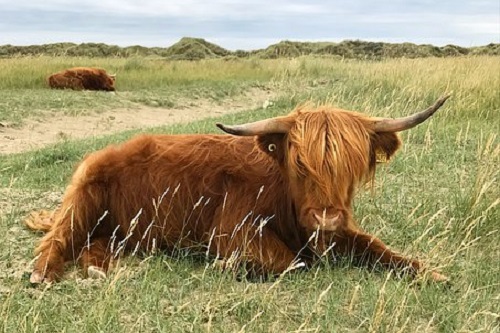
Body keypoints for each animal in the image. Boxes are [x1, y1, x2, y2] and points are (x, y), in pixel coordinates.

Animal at [25, 94, 452, 282]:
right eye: (300, 164)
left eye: (353, 165)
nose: (326, 216)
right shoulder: (233, 231)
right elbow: (289, 262)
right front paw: (231, 266)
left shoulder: (337, 233)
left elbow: (379, 249)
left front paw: (431, 273)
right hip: (82, 199)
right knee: (58, 238)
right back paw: (43, 273)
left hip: (120, 231)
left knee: (94, 244)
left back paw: (98, 268)